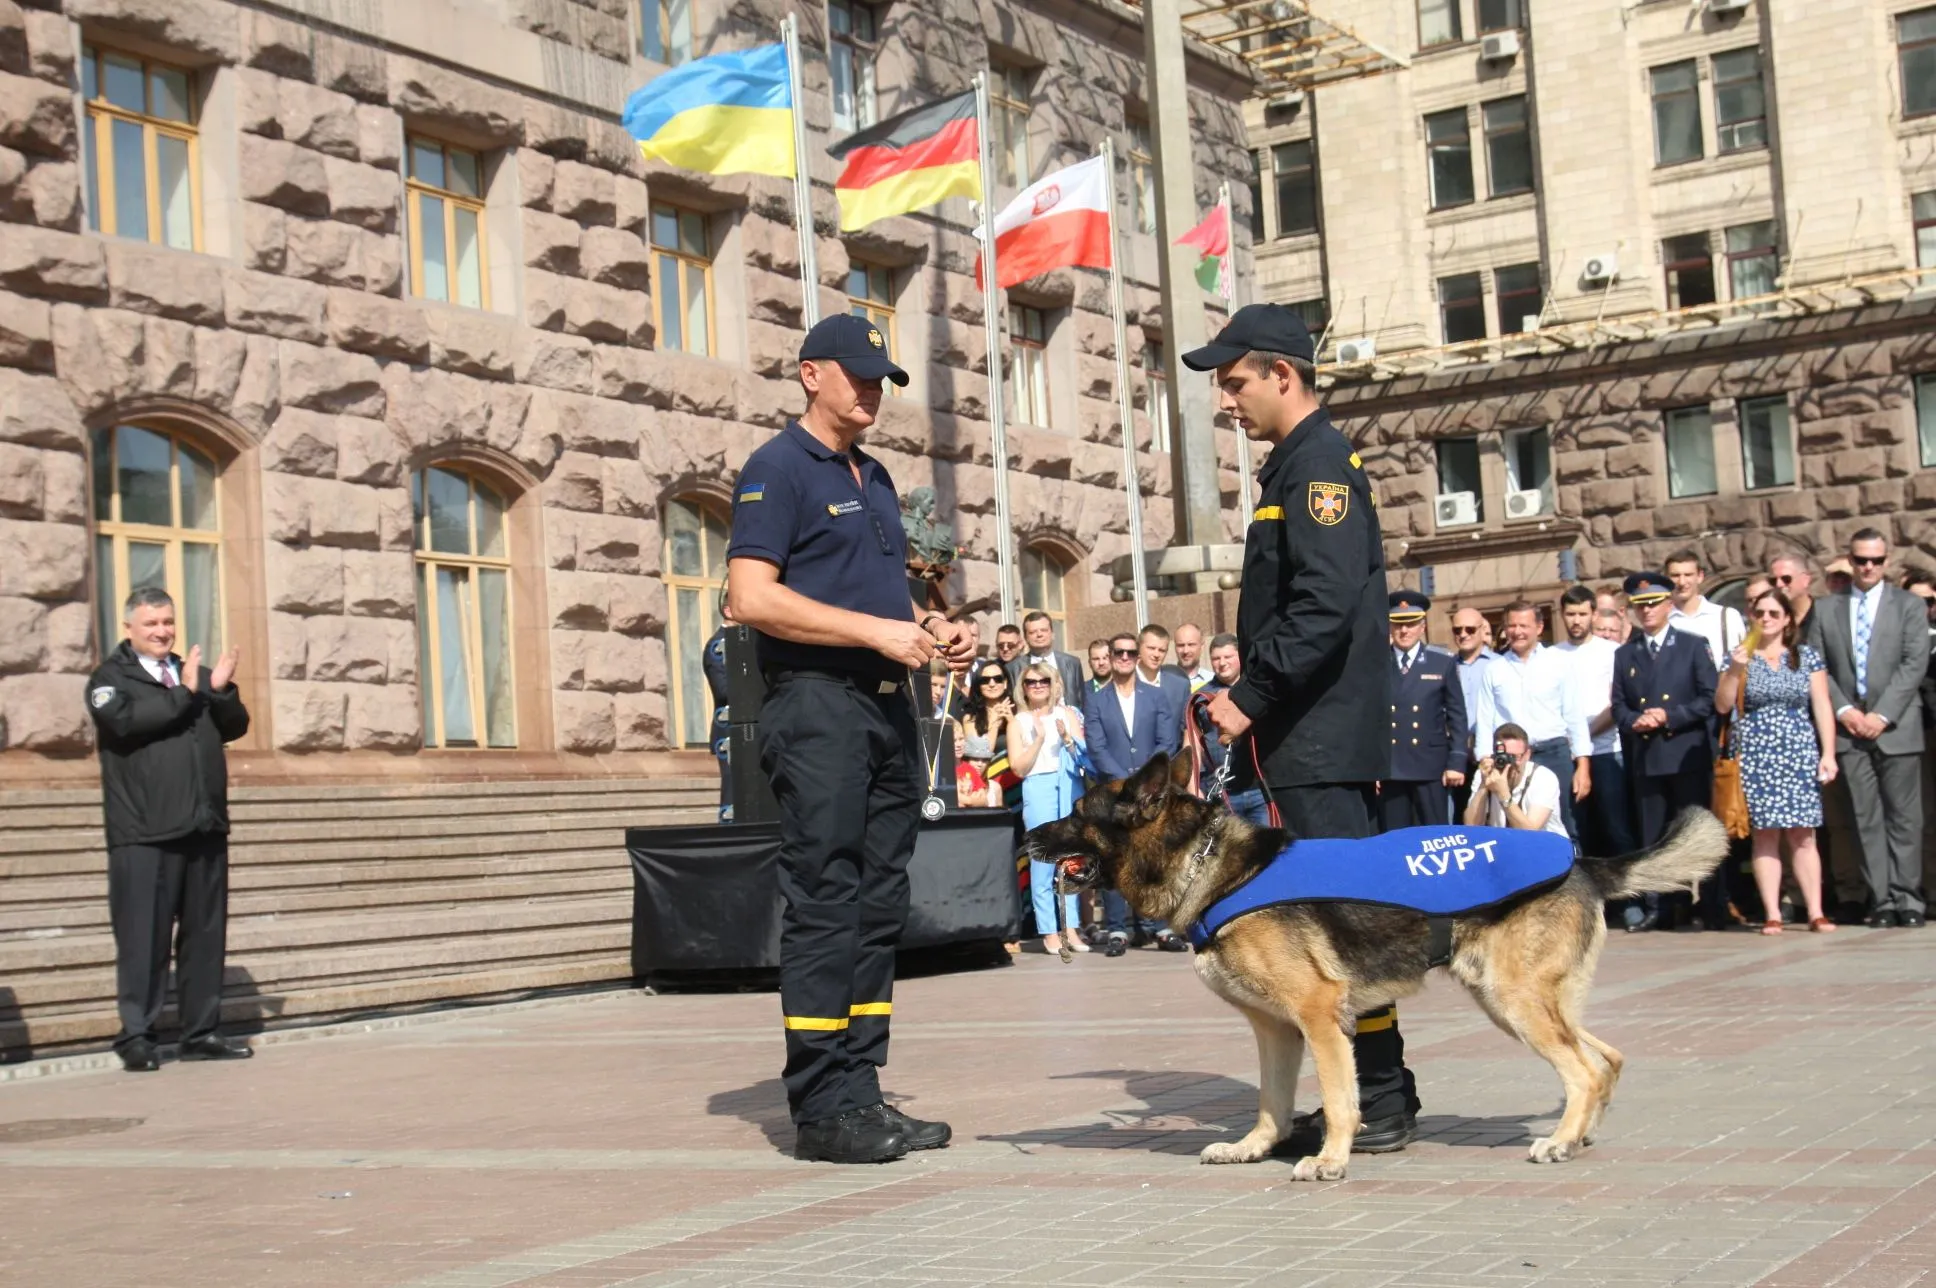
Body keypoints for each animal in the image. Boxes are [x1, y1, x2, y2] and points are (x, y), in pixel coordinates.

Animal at [1022, 759, 1734, 1177]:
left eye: (1078, 814)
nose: (1026, 838)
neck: (1213, 868)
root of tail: (1581, 861)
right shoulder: (1276, 1031)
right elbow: (1271, 1103)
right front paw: (1254, 1148)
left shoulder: (1317, 1017)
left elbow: (1341, 1099)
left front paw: (1331, 1159)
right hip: (1520, 1002)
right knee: (1605, 1057)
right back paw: (1581, 1135)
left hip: (1515, 1002)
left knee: (1583, 1070)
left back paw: (1559, 1140)